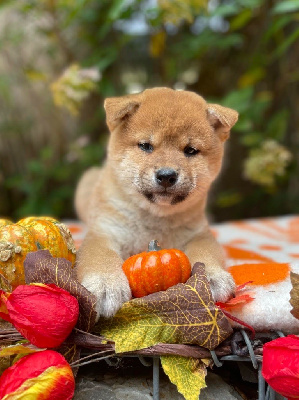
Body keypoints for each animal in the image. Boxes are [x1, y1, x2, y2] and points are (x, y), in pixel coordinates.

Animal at [75, 87, 239, 318]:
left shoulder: (199, 235)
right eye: (146, 146)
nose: (167, 176)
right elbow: (101, 257)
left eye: (190, 150)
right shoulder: (104, 233)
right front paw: (106, 284)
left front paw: (211, 277)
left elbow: (205, 253)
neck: (154, 219)